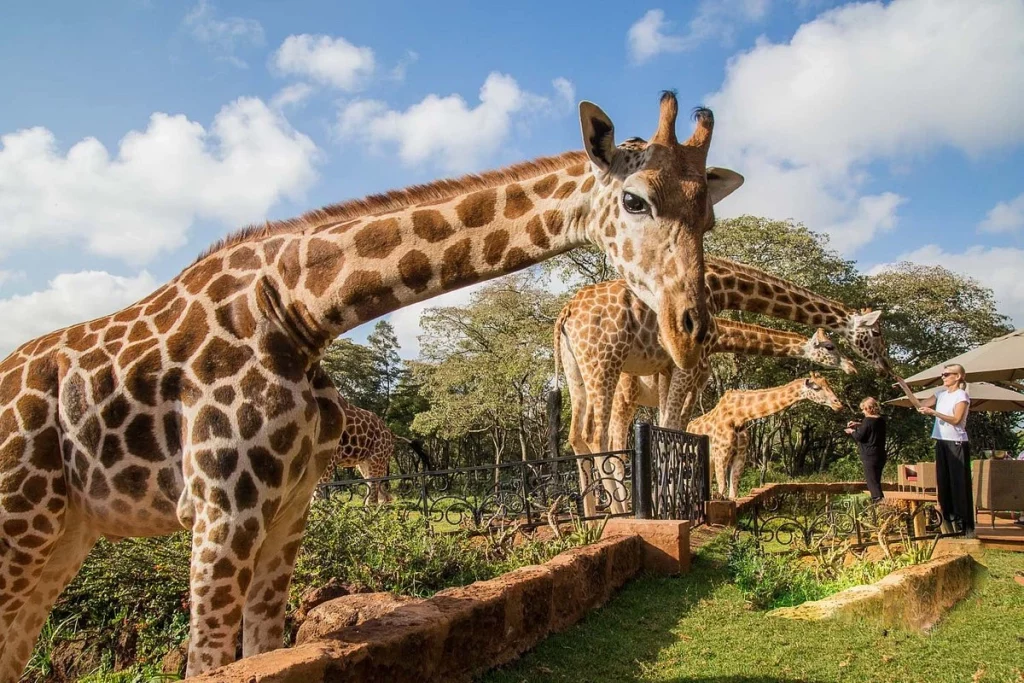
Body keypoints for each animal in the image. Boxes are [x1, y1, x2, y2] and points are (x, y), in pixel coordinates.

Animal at [0, 91, 745, 679]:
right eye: (634, 199)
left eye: (707, 217)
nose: (691, 328)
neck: (299, 312)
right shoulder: (221, 509)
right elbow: (208, 663)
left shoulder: (288, 509)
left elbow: (261, 651)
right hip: (24, 527)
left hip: (62, 538)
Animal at [687, 373, 844, 499]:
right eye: (817, 388)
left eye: (829, 385)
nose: (839, 404)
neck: (739, 416)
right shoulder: (721, 453)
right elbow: (722, 488)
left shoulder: (740, 455)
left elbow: (733, 492)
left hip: (710, 459)